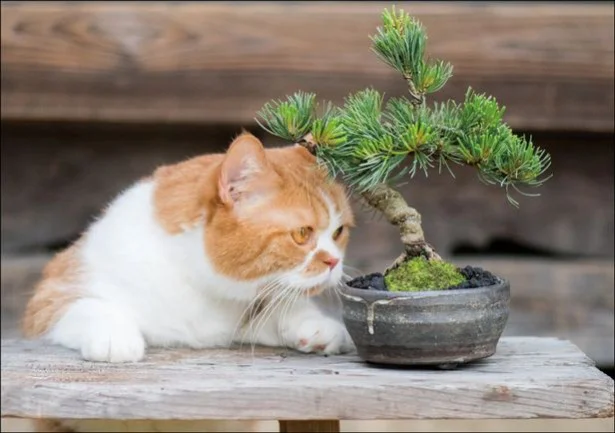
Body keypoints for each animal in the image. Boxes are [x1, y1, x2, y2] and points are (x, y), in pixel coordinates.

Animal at [20, 132, 356, 432]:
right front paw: (114, 338)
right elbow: (88, 305)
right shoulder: (51, 293)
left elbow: (276, 305)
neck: (192, 282)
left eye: (339, 232)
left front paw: (315, 325)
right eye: (301, 234)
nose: (333, 262)